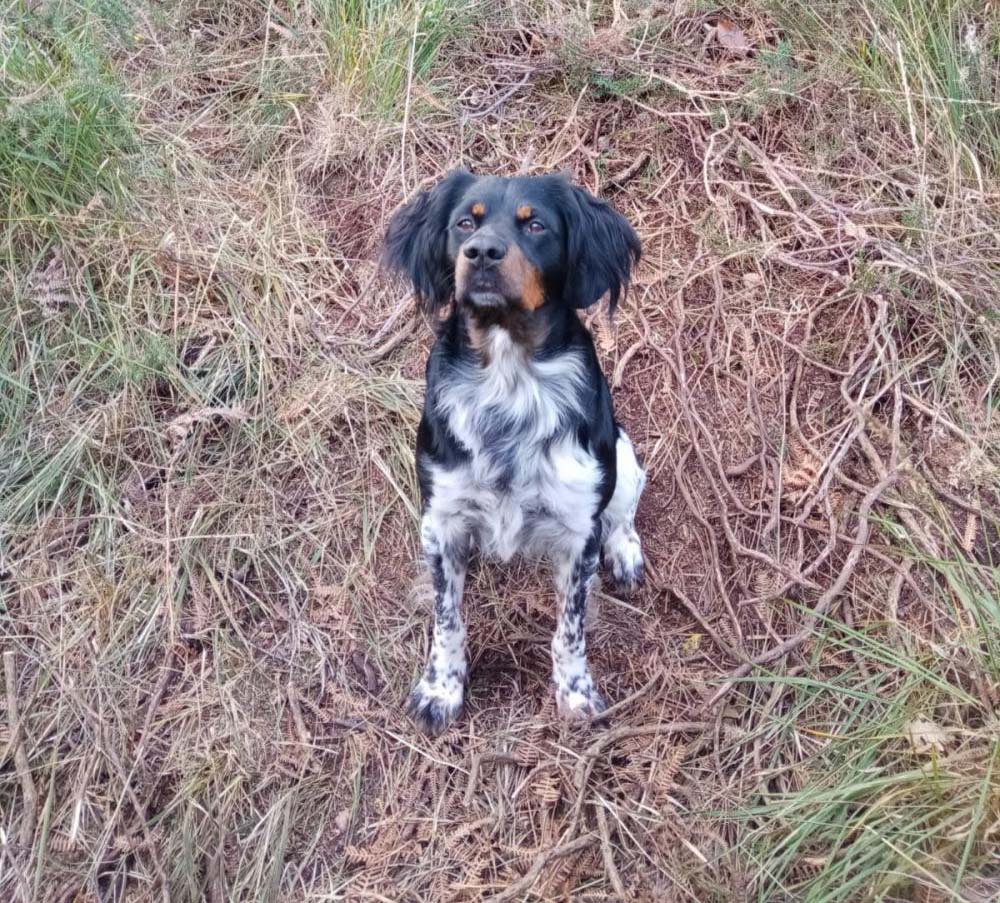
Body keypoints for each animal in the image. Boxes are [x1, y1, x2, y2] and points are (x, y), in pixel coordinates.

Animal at [382, 170, 648, 736]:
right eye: (465, 222)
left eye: (536, 225)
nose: (482, 252)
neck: (509, 378)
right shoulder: (441, 521)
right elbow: (447, 622)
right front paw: (441, 691)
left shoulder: (578, 532)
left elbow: (570, 630)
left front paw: (575, 693)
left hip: (622, 450)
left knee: (623, 512)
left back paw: (625, 550)